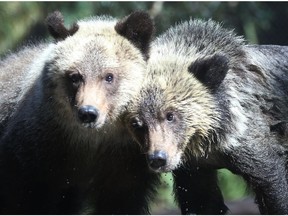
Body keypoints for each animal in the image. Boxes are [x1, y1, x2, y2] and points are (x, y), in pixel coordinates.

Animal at [0, 10, 160, 214]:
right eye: (75, 76)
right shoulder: (37, 149)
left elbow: (120, 201)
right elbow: (23, 195)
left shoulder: (125, 161)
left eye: (109, 76)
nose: (88, 112)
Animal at [125, 18, 288, 214]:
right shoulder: (195, 169)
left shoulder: (252, 142)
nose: (158, 158)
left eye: (170, 115)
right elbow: (202, 201)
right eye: (137, 124)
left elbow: (271, 185)